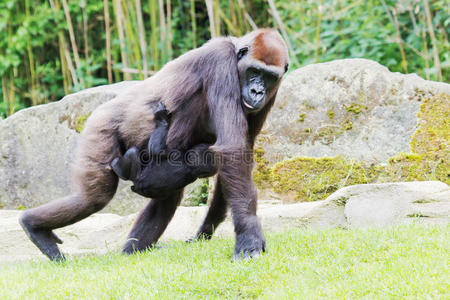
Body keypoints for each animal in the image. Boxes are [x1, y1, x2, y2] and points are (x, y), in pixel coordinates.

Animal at [19, 29, 288, 262]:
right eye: (254, 71)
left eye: (269, 77)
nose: (256, 91)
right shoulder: (220, 62)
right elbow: (232, 149)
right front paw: (249, 237)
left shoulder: (273, 93)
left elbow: (240, 154)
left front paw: (205, 231)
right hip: (99, 128)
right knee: (93, 197)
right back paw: (33, 226)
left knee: (165, 194)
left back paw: (131, 251)